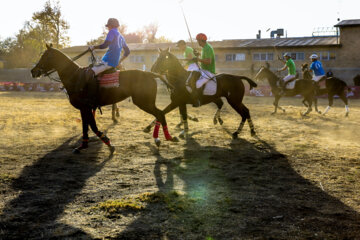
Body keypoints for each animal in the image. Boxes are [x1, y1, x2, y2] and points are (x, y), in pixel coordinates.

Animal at [31, 44, 178, 154]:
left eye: (44, 56)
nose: (33, 71)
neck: (75, 77)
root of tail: (151, 73)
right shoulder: (84, 108)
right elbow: (86, 126)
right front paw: (82, 146)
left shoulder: (86, 107)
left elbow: (92, 126)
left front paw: (108, 143)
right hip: (146, 102)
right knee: (160, 113)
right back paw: (162, 137)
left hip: (143, 102)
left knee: (160, 113)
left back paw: (163, 138)